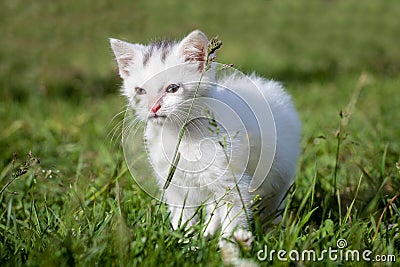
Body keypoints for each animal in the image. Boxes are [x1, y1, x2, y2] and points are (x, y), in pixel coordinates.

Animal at [109, 30, 300, 246]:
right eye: (140, 91)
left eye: (173, 88)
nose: (153, 107)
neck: (181, 135)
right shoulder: (174, 185)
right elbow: (182, 217)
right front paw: (185, 243)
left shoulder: (232, 183)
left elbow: (233, 218)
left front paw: (229, 247)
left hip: (279, 171)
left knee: (274, 202)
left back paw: (273, 230)